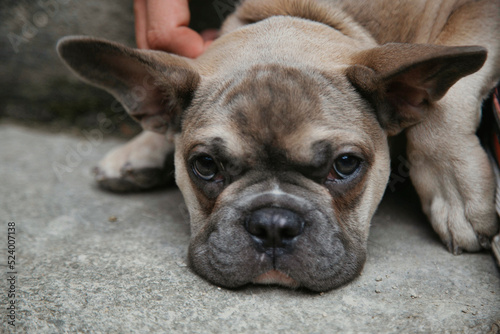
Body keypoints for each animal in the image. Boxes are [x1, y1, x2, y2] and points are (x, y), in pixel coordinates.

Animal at [55, 0, 500, 290]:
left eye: (345, 164)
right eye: (205, 165)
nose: (272, 225)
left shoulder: (477, 14)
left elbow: (447, 103)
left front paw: (455, 194)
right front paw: (145, 146)